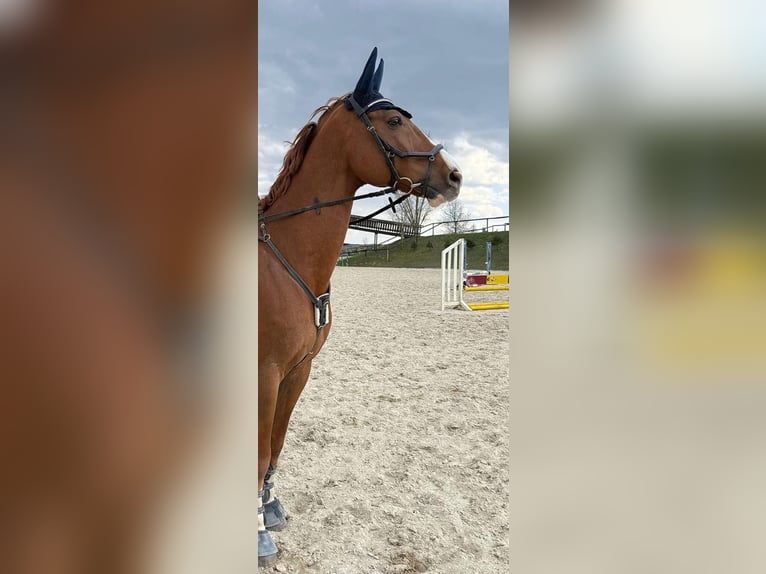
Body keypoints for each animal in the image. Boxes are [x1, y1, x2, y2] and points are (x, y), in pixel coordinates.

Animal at [258, 47, 463, 567]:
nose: (454, 176)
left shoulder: (297, 372)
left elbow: (275, 446)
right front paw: (259, 536)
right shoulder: (266, 375)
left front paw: (270, 509)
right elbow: (258, 451)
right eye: (393, 121)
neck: (288, 260)